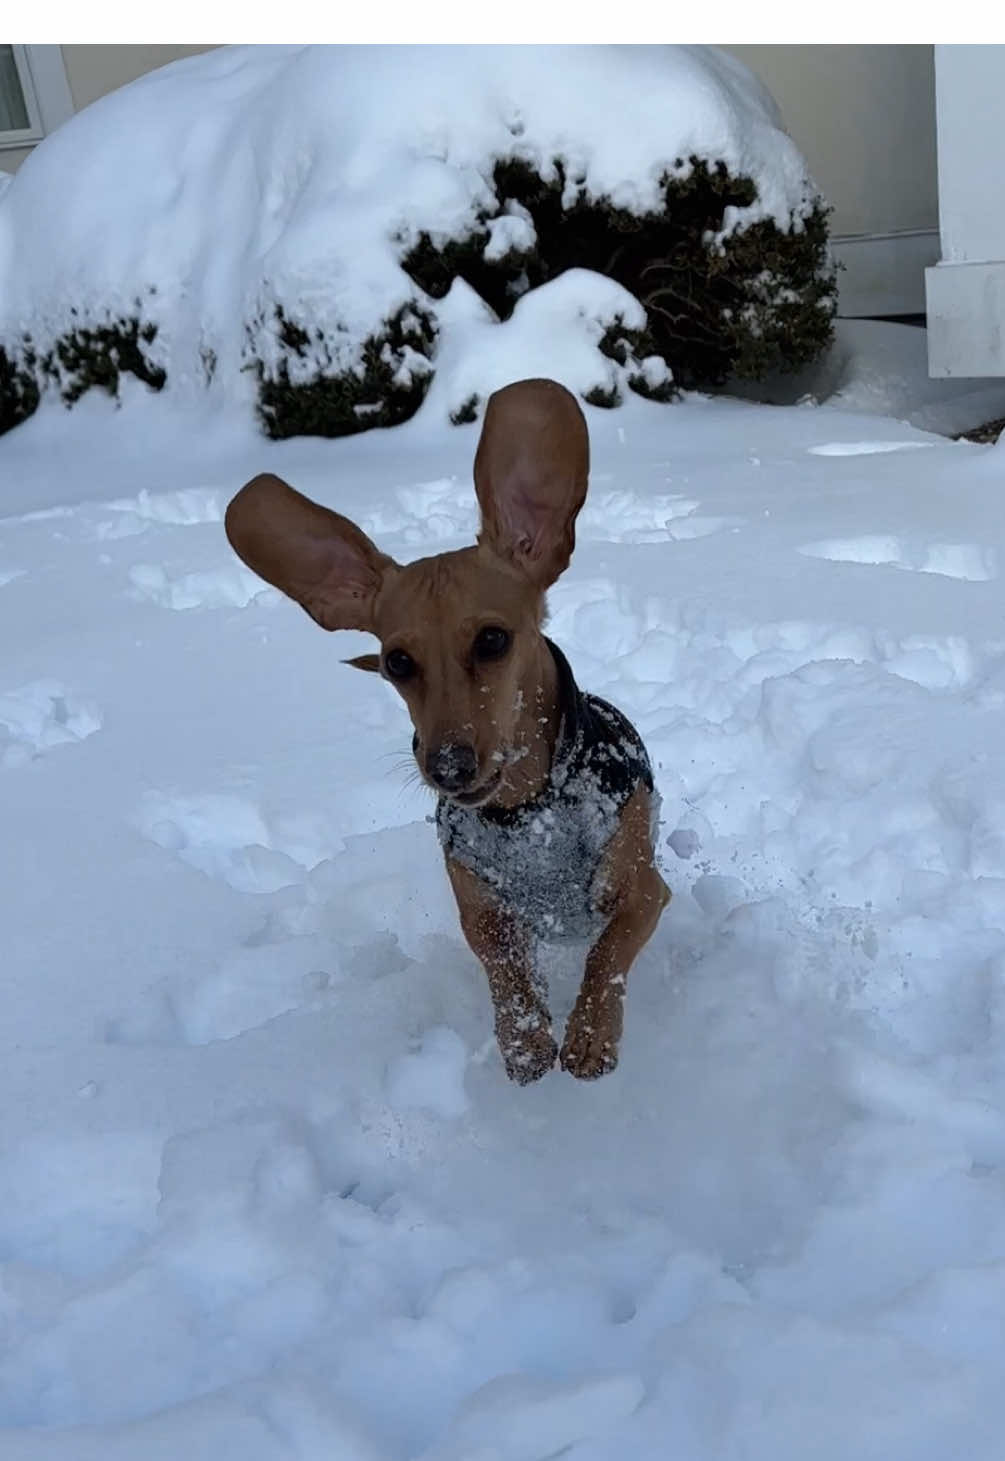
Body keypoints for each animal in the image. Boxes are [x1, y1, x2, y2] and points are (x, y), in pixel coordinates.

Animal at [226, 379, 666, 1086]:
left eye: (492, 640)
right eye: (397, 663)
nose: (448, 766)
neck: (527, 813)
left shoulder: (644, 890)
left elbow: (609, 950)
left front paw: (591, 1032)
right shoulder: (480, 909)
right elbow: (504, 965)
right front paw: (523, 1037)